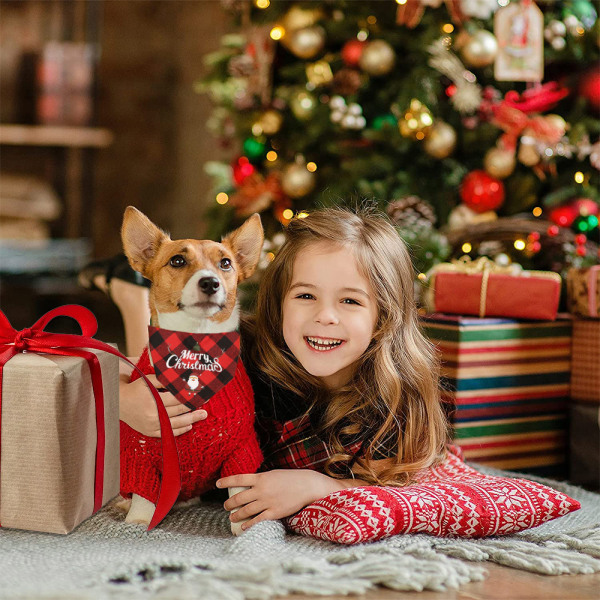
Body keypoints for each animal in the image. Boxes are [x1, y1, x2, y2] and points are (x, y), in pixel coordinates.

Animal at [118, 207, 264, 536]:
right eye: (177, 261)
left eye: (226, 263)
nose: (210, 282)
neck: (195, 353)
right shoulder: (141, 453)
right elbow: (144, 497)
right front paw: (137, 524)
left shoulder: (241, 450)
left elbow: (239, 491)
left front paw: (243, 527)